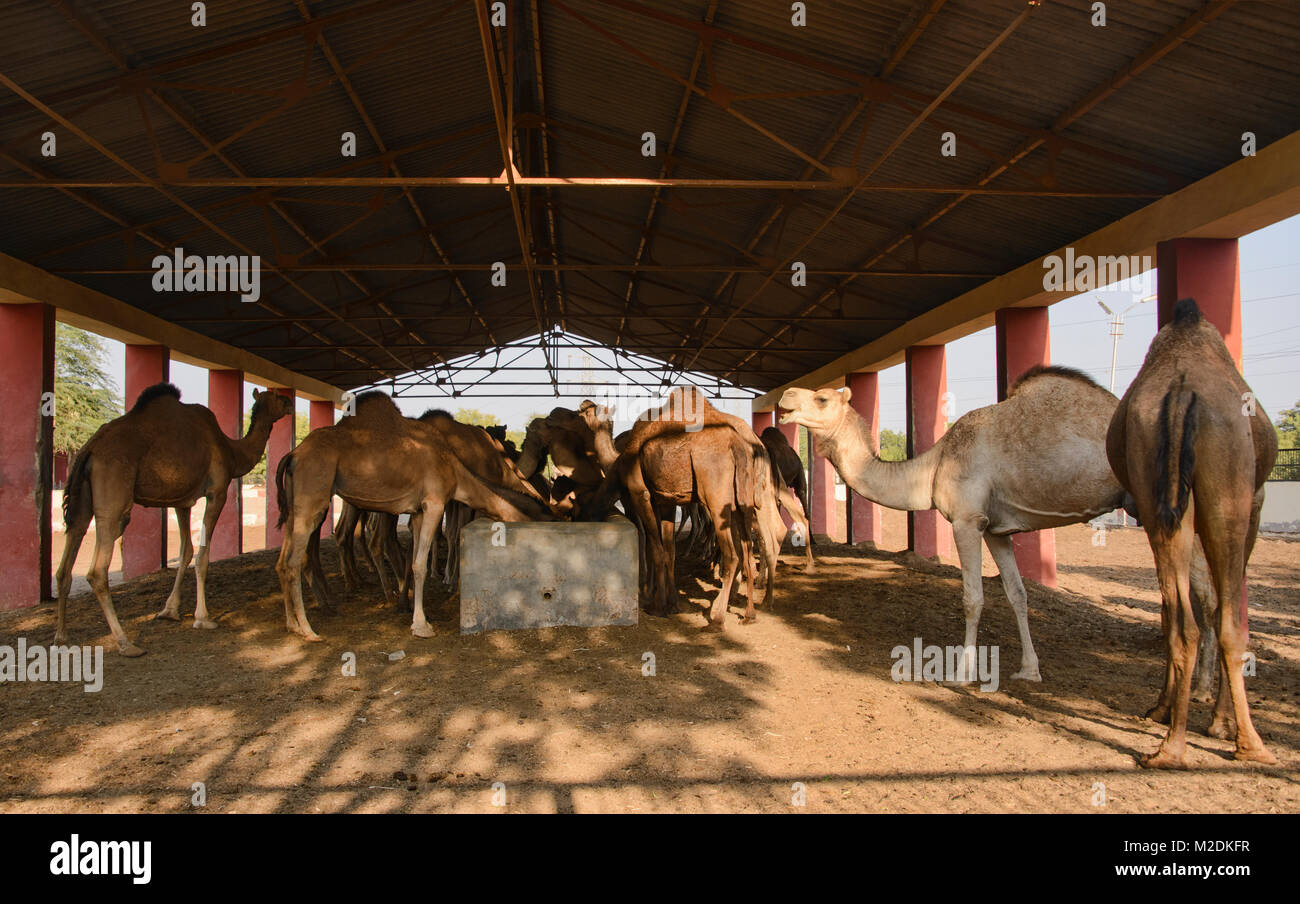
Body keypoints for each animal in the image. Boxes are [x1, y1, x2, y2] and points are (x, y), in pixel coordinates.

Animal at [55, 382, 292, 658]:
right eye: (277, 397)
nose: (290, 404)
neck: (231, 450)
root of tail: (89, 449)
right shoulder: (217, 492)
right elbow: (202, 555)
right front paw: (203, 618)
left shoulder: (182, 502)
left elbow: (186, 551)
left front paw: (169, 611)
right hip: (113, 499)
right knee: (96, 570)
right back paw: (126, 642)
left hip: (81, 500)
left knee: (68, 555)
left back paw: (61, 635)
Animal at [276, 392, 551, 639]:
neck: (455, 470)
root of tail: (293, 455)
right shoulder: (434, 503)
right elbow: (420, 563)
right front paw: (421, 625)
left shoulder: (418, 511)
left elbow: (414, 559)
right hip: (313, 496)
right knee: (294, 560)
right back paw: (308, 629)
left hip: (294, 506)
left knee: (285, 560)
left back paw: (293, 623)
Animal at [1107, 300, 1279, 764]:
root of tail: (1183, 394)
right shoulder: (1254, 503)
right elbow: (1223, 607)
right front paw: (1220, 723)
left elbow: (1176, 609)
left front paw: (1162, 709)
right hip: (1229, 487)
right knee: (1228, 620)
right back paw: (1249, 743)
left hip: (1155, 491)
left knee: (1180, 619)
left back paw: (1170, 746)